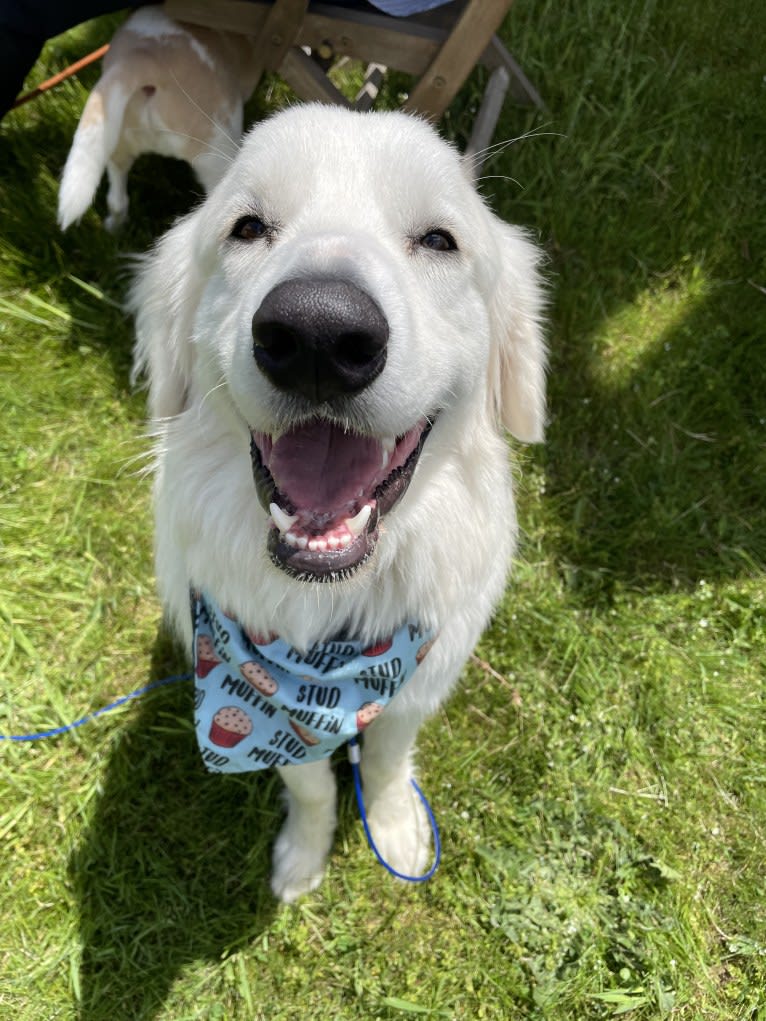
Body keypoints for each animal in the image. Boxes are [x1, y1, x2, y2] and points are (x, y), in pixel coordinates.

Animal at [133, 103, 551, 902]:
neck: (330, 628)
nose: (317, 334)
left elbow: (384, 763)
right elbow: (311, 784)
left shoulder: (412, 692)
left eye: (439, 240)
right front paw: (304, 854)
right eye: (248, 228)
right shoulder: (278, 718)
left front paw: (394, 830)